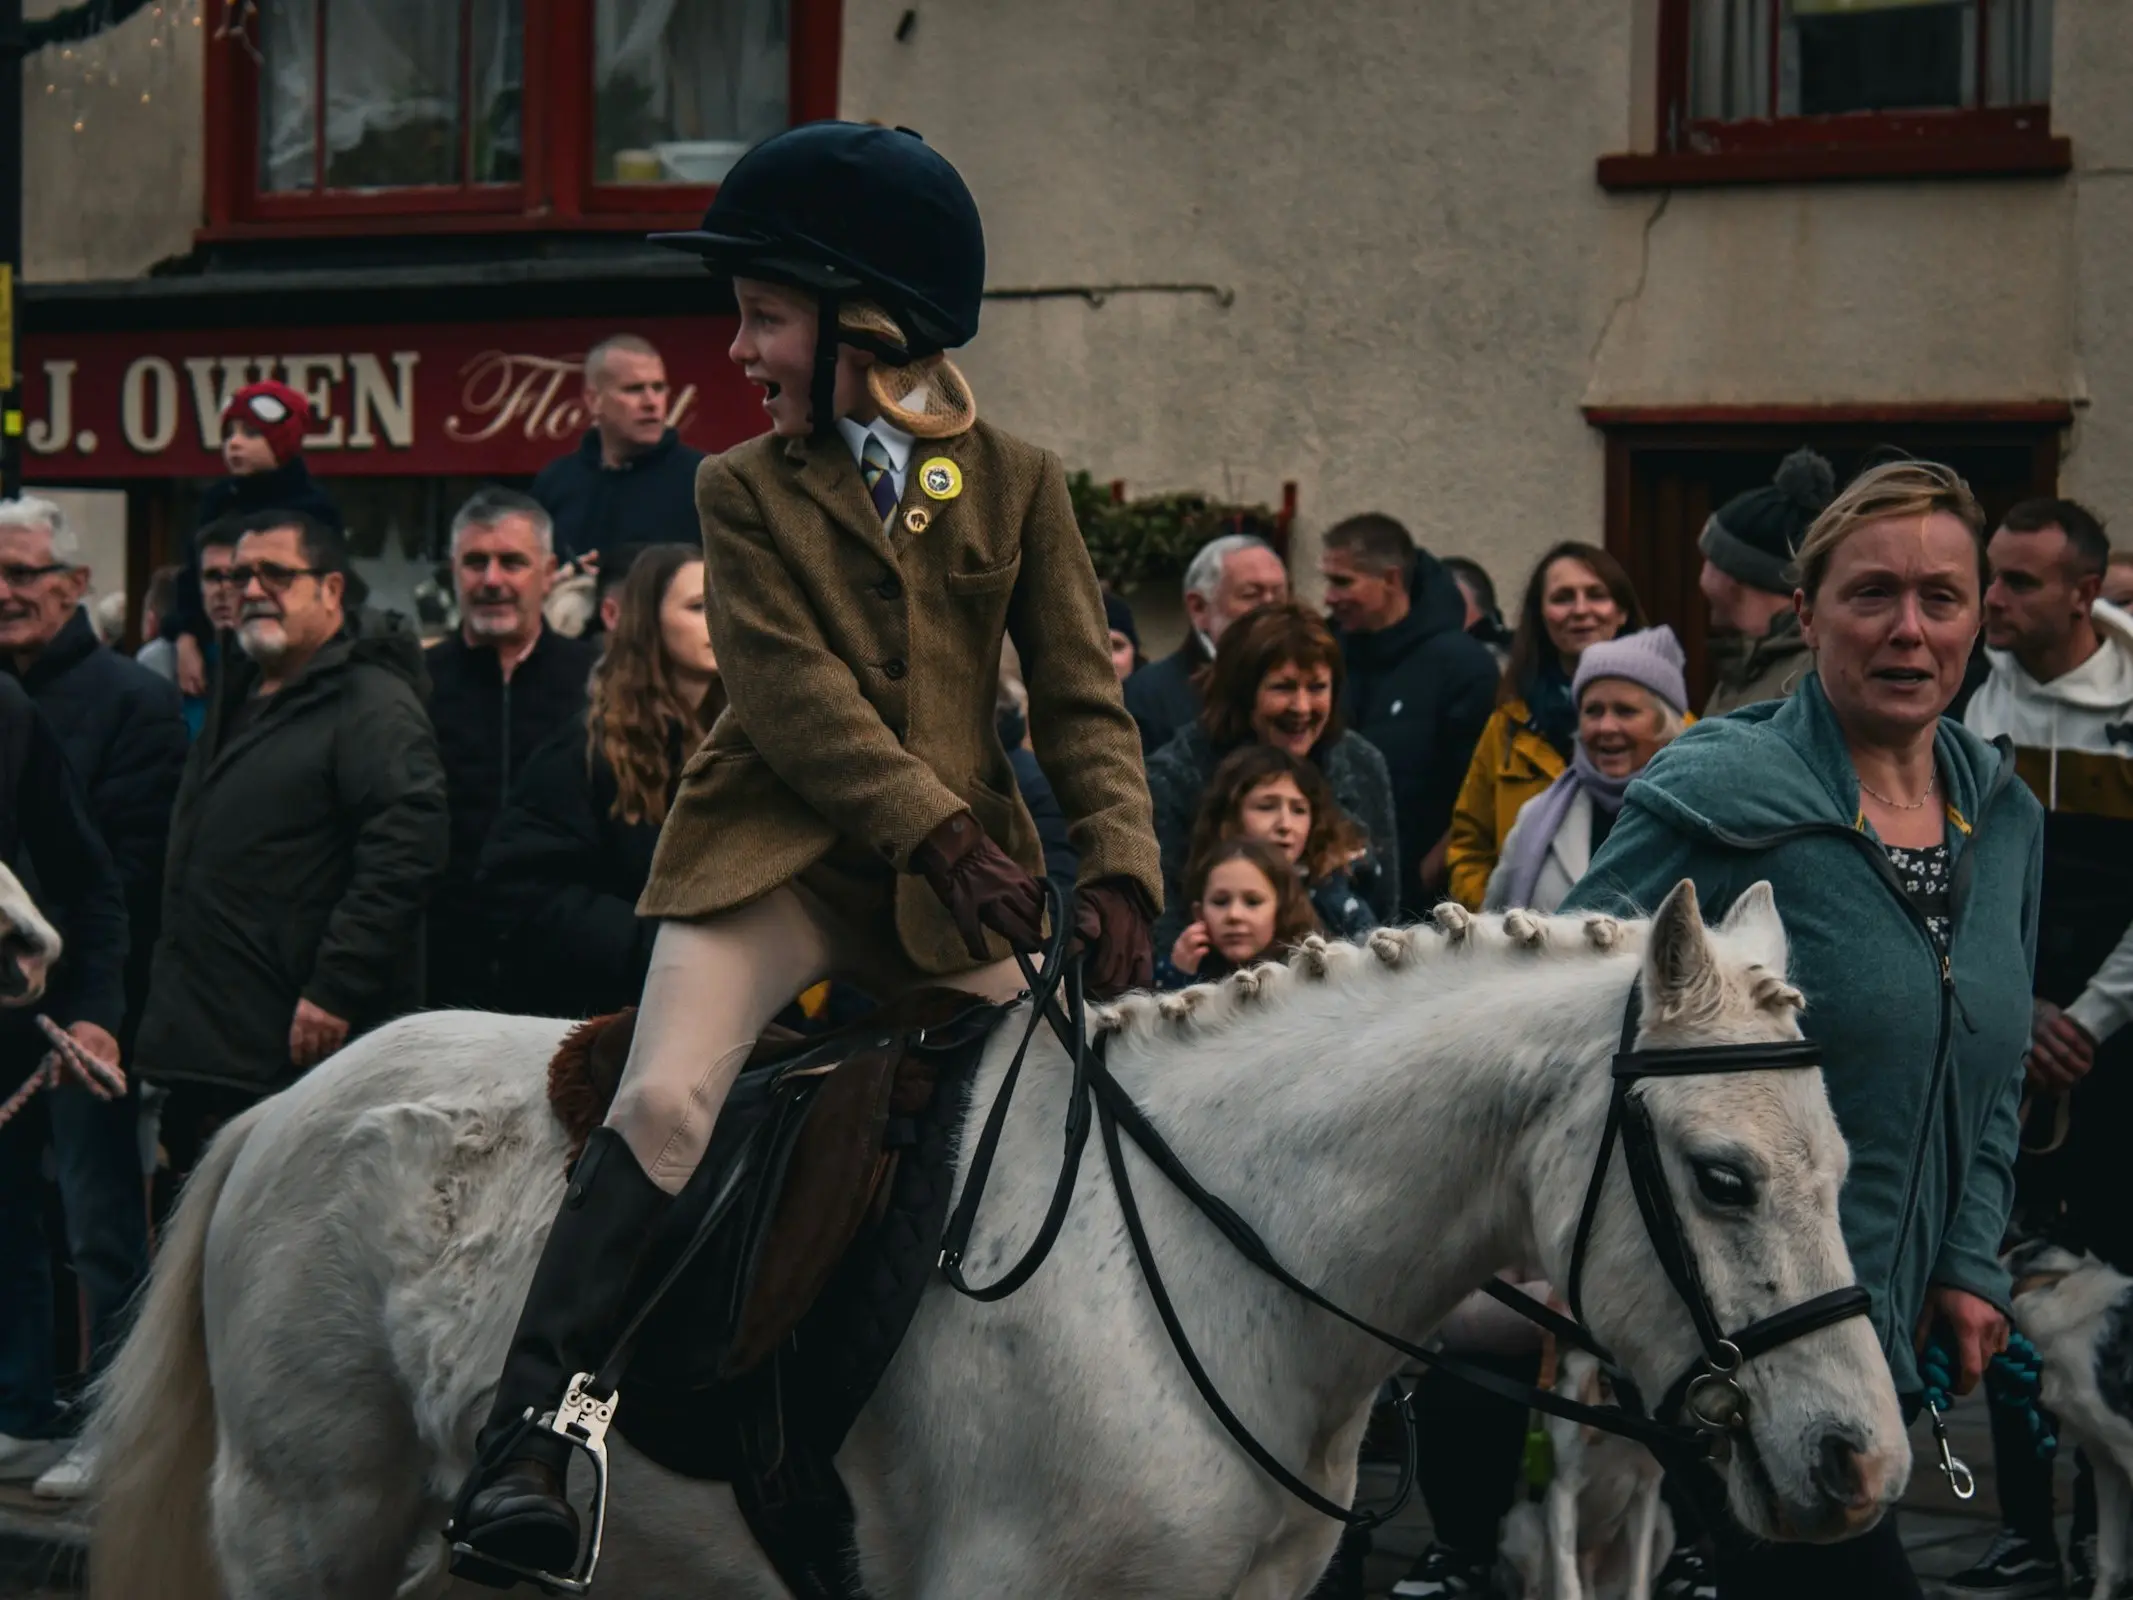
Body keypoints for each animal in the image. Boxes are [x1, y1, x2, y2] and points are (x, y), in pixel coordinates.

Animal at [1510, 1356, 1672, 1600]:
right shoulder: (1564, 1489)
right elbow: (1567, 1581)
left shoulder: (1646, 1492)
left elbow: (1639, 1580)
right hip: (1526, 1523)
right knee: (1534, 1589)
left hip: (1664, 1527)